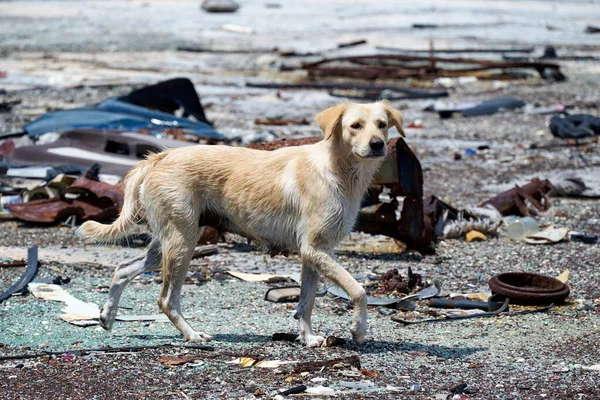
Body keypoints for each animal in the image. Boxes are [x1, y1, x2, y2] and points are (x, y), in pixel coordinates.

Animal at [78, 101, 404, 346]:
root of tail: (159, 157)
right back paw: (192, 335)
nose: (378, 145)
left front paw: (308, 338)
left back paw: (107, 315)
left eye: (382, 124)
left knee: (123, 269)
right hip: (182, 243)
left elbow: (306, 302)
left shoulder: (315, 253)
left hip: (168, 242)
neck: (338, 169)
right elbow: (359, 290)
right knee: (166, 300)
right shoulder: (315, 250)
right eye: (355, 126)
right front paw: (358, 330)